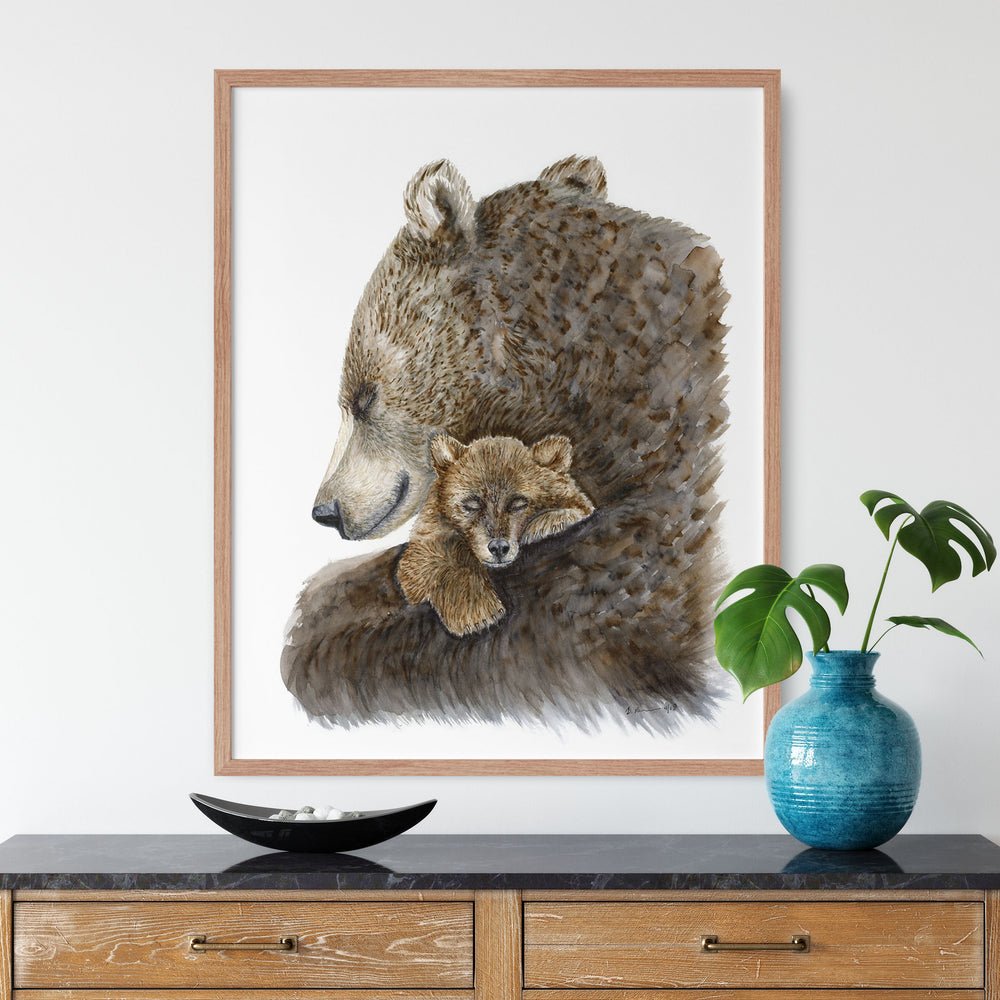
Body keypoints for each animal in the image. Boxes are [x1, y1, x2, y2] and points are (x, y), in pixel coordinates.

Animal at [396, 434, 595, 637]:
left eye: (518, 503)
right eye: (472, 504)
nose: (499, 547)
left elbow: (579, 507)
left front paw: (544, 524)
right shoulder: (428, 534)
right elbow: (432, 558)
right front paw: (476, 613)